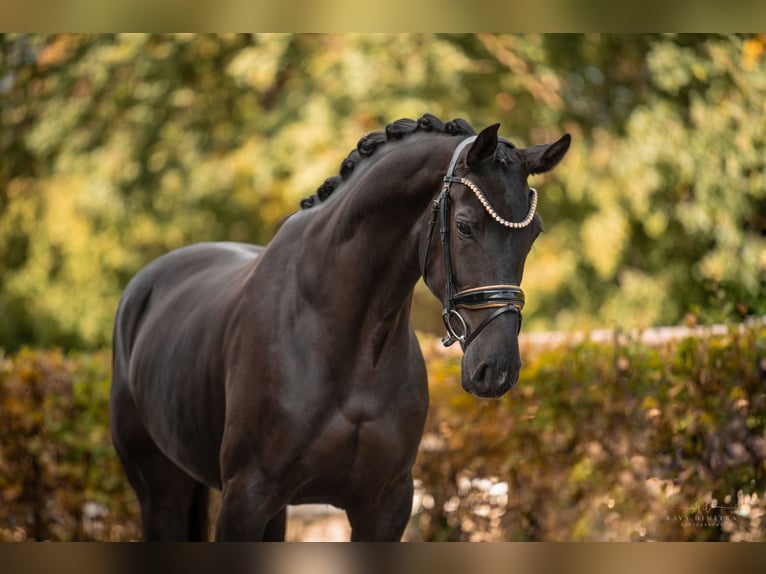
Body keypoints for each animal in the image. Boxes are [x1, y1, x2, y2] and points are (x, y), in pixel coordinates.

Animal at [109, 115, 568, 544]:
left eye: (534, 233)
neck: (344, 344)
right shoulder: (245, 499)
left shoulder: (385, 505)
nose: (498, 368)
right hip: (161, 489)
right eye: (465, 226)